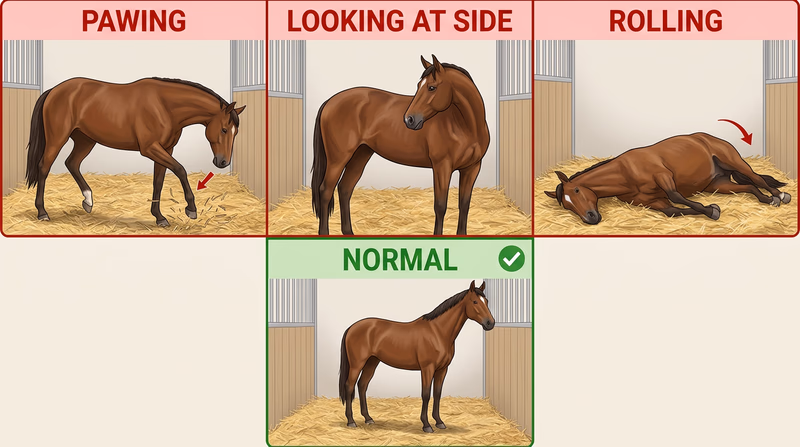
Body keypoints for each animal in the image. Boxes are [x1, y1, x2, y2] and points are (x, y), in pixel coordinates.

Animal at [25, 77, 246, 226]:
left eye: (236, 133)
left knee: (72, 163)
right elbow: (180, 170)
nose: (222, 162)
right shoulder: (150, 148)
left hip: (85, 140)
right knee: (44, 167)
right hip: (57, 138)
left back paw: (88, 201)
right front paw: (191, 209)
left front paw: (159, 217)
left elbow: (159, 181)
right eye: (224, 129)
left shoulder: (165, 149)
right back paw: (42, 213)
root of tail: (54, 90)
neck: (165, 106)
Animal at [311, 55, 490, 235]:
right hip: (338, 159)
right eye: (419, 85)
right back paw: (324, 233)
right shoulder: (442, 167)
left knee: (345, 189)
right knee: (325, 190)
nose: (409, 119)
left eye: (431, 87)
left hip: (360, 154)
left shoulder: (472, 168)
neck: (466, 126)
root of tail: (330, 101)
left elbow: (464, 204)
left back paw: (349, 232)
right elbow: (440, 206)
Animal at [338, 280, 495, 432]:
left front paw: (439, 422)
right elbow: (425, 394)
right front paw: (426, 425)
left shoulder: (442, 369)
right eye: (475, 301)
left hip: (372, 362)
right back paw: (351, 421)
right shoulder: (427, 368)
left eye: (486, 301)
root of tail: (351, 327)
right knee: (349, 386)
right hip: (357, 364)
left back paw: (368, 419)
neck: (438, 332)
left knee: (362, 385)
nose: (490, 323)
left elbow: (437, 394)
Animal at [544, 132, 792, 224]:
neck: (625, 173)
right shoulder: (650, 201)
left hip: (733, 161)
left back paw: (780, 196)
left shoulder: (663, 176)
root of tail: (709, 137)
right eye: (566, 205)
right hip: (718, 183)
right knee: (749, 186)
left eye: (576, 190)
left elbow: (676, 196)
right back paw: (768, 200)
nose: (591, 219)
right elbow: (673, 210)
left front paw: (711, 210)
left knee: (756, 179)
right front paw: (709, 209)